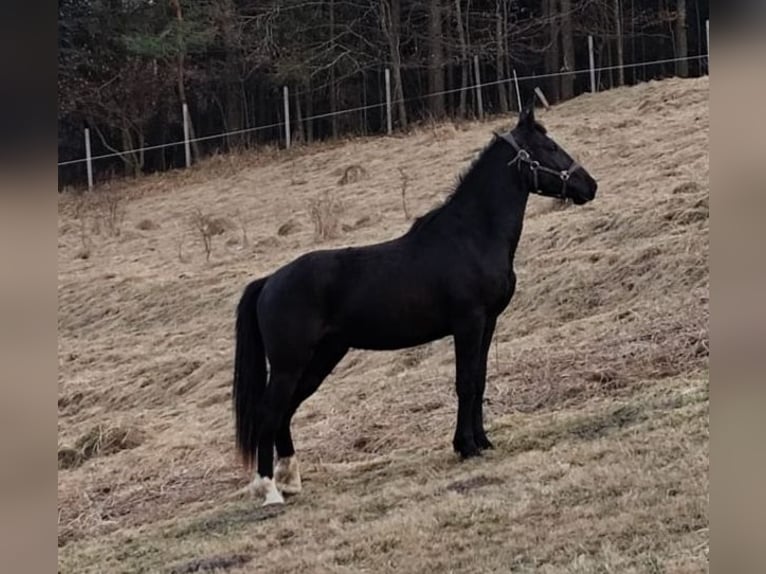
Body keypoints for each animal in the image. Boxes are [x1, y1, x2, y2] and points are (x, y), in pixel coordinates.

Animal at [233, 103, 598, 505]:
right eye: (549, 147)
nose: (589, 185)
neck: (471, 236)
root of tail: (269, 282)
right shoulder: (468, 323)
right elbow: (465, 382)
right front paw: (466, 446)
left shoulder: (487, 323)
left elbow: (480, 379)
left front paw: (483, 442)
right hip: (289, 364)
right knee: (269, 413)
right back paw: (270, 489)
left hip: (323, 356)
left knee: (286, 410)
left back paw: (291, 480)